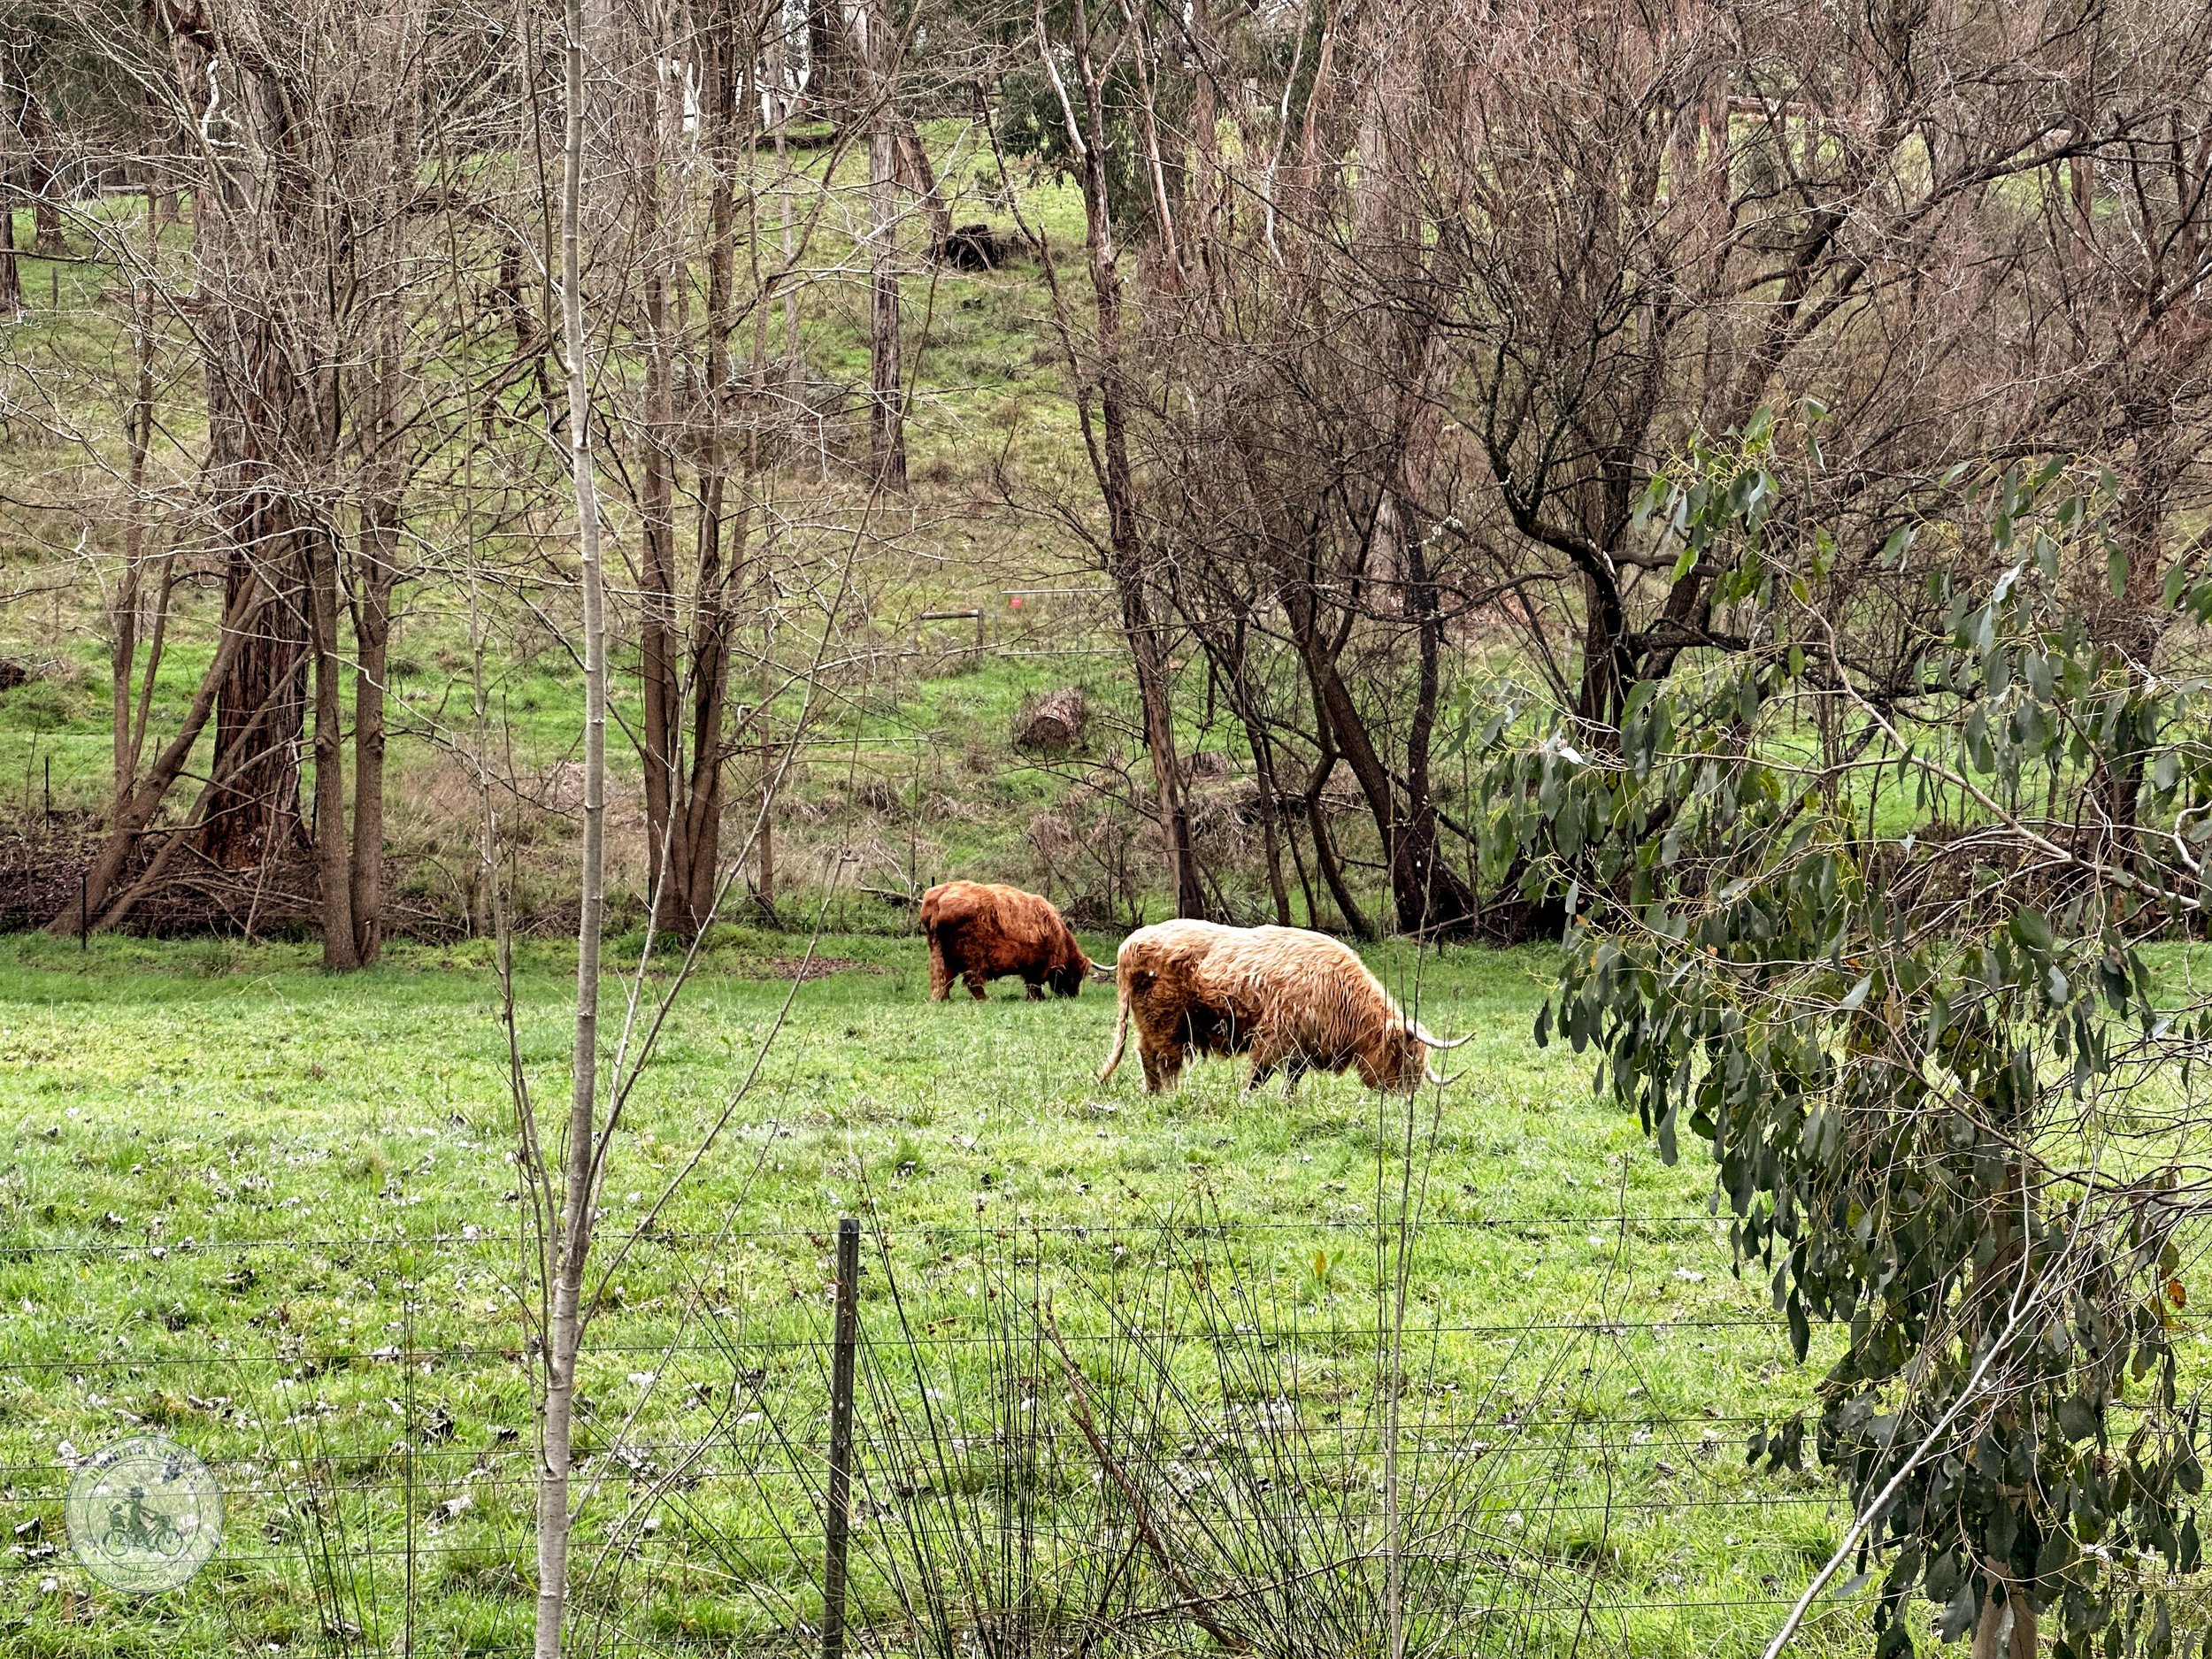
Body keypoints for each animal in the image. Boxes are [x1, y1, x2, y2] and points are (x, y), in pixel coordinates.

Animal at [911, 885, 1093, 1000]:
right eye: (1077, 975)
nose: (1073, 995)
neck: (1060, 938)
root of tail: (938, 897)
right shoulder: (1037, 965)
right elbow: (1034, 984)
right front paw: (1037, 998)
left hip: (942, 953)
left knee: (943, 979)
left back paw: (944, 999)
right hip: (973, 955)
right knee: (972, 981)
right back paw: (985, 999)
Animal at [1093, 916, 1469, 1097]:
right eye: (1406, 1057)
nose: (1405, 1097)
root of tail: (1130, 942)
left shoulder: (1301, 1045)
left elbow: (1292, 1079)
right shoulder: (1277, 1036)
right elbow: (1260, 1076)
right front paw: (1247, 1099)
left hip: (1152, 1022)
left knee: (1146, 1053)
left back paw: (1154, 1093)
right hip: (1166, 1020)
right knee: (1164, 1058)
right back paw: (1170, 1095)